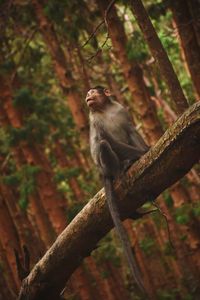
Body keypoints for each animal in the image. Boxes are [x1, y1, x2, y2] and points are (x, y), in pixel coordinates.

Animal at [85, 85, 149, 294]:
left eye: (92, 93)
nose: (88, 96)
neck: (105, 109)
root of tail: (103, 172)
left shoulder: (121, 110)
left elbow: (130, 129)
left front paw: (146, 148)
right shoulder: (95, 121)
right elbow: (107, 140)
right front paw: (142, 153)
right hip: (106, 167)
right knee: (104, 145)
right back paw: (123, 167)